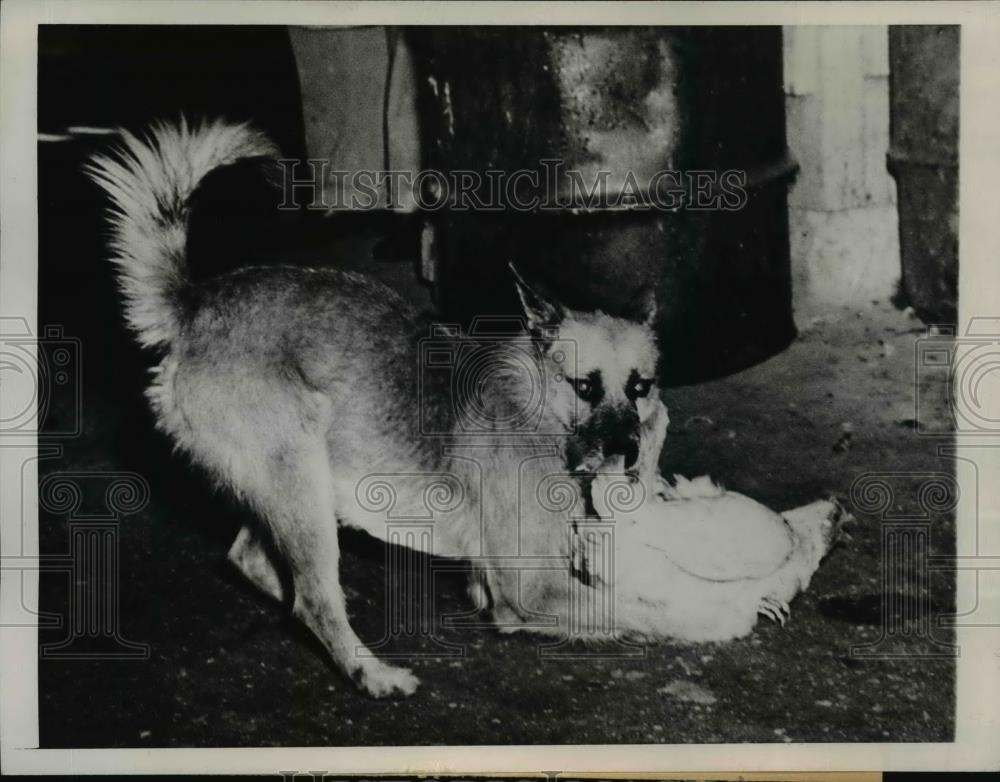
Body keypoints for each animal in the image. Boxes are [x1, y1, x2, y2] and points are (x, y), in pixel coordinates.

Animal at [84, 121, 664, 700]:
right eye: (585, 387)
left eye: (641, 387)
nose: (628, 455)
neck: (535, 407)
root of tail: (195, 306)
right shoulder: (530, 588)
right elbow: (640, 607)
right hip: (300, 479)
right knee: (313, 599)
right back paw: (371, 672)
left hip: (284, 484)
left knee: (256, 562)